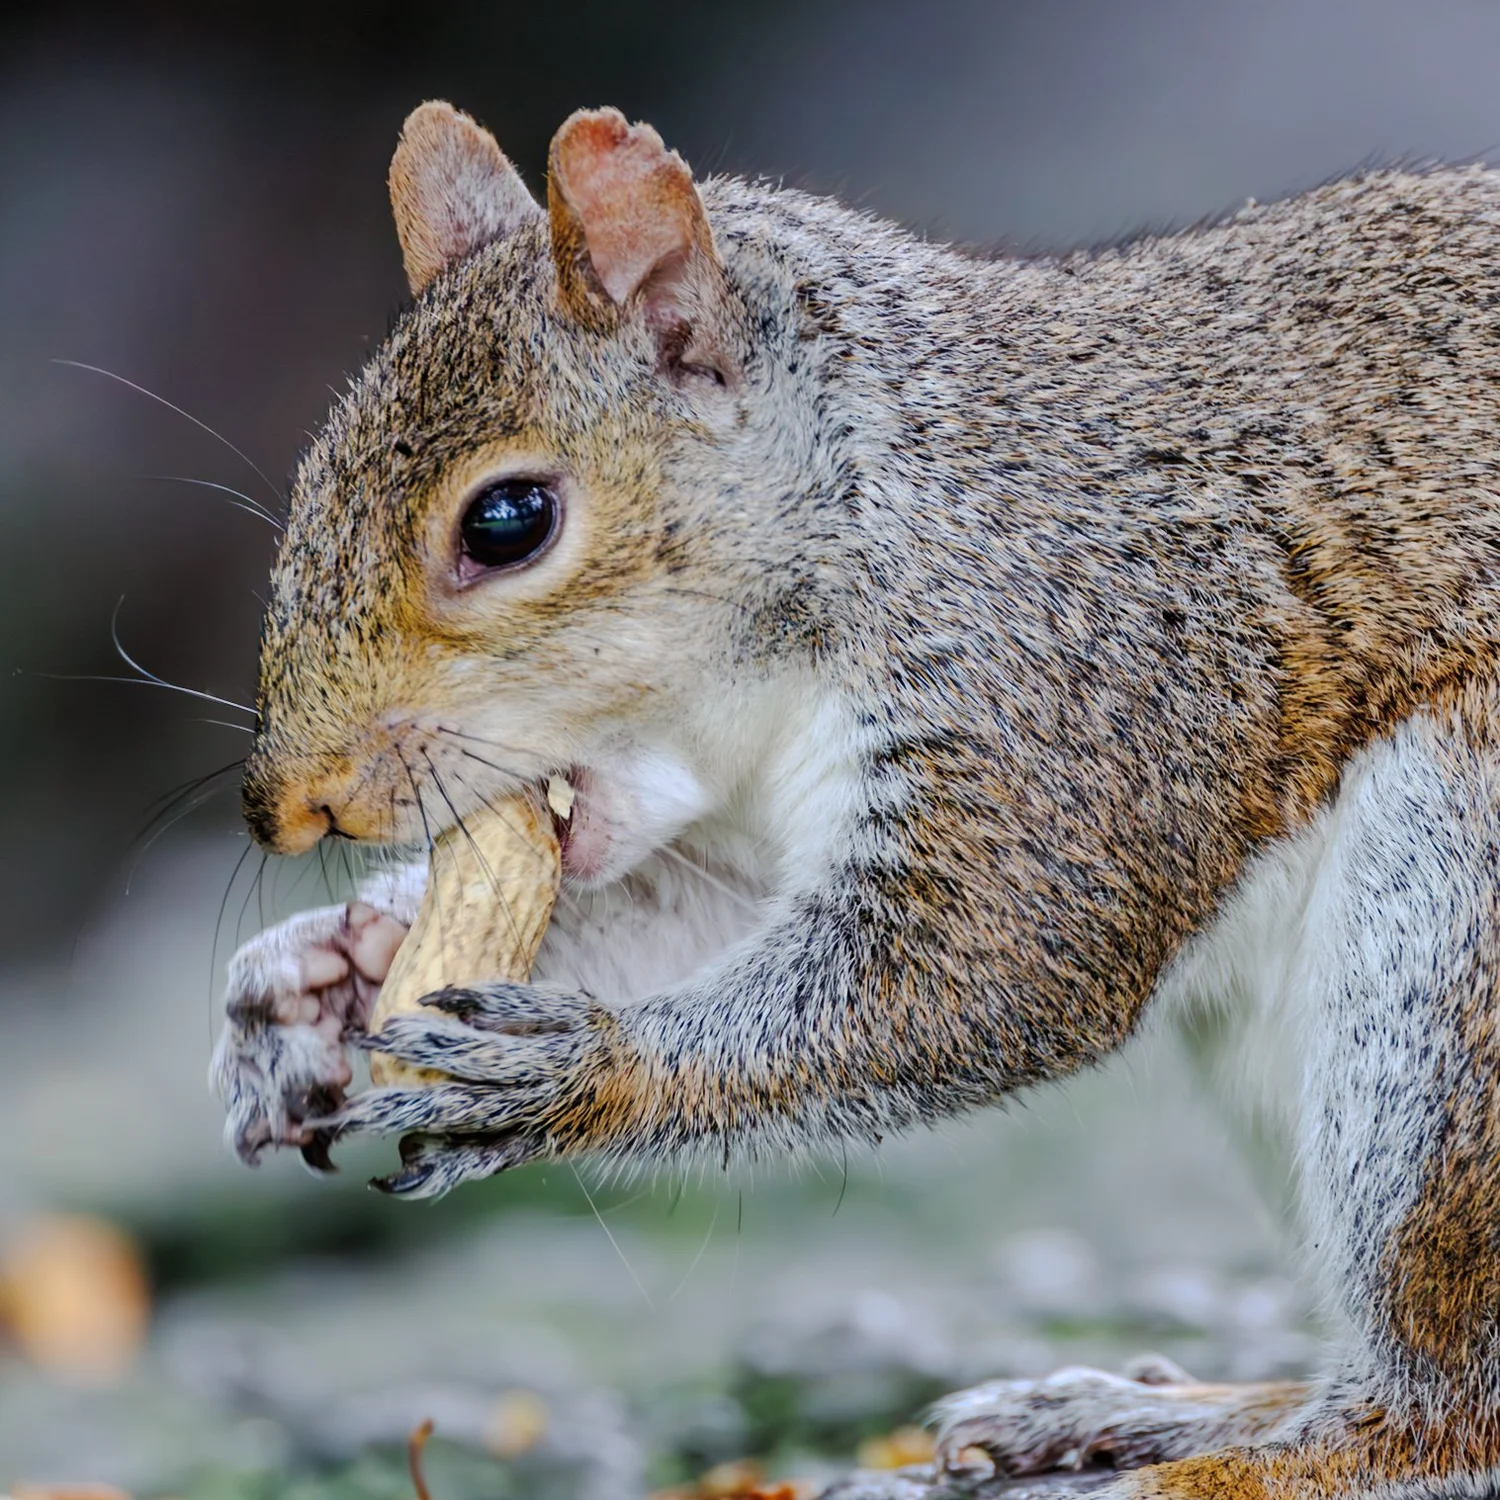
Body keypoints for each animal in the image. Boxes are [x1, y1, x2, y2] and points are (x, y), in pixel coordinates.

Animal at [209, 100, 1500, 1497]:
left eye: (508, 521)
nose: (287, 810)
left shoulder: (1065, 683)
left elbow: (986, 967)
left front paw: (571, 1072)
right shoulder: (740, 844)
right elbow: (682, 920)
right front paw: (321, 978)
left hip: (1451, 947)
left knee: (1435, 1423)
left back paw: (1204, 1461)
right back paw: (1167, 1411)